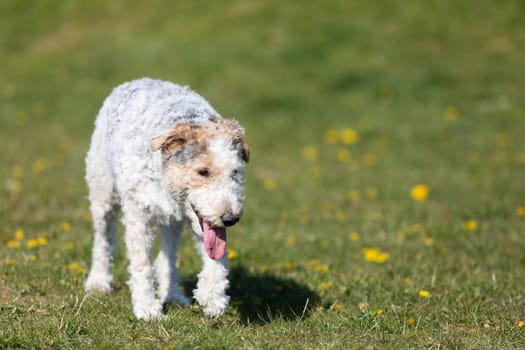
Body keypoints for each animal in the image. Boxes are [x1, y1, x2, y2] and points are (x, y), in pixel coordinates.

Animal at [83, 78, 250, 320]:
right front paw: (147, 309)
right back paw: (98, 282)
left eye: (235, 172)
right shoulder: (139, 216)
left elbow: (217, 257)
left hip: (173, 222)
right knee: (103, 240)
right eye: (203, 172)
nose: (230, 218)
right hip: (103, 193)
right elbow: (141, 263)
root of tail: (136, 80)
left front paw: (212, 298)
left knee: (169, 256)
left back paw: (172, 295)